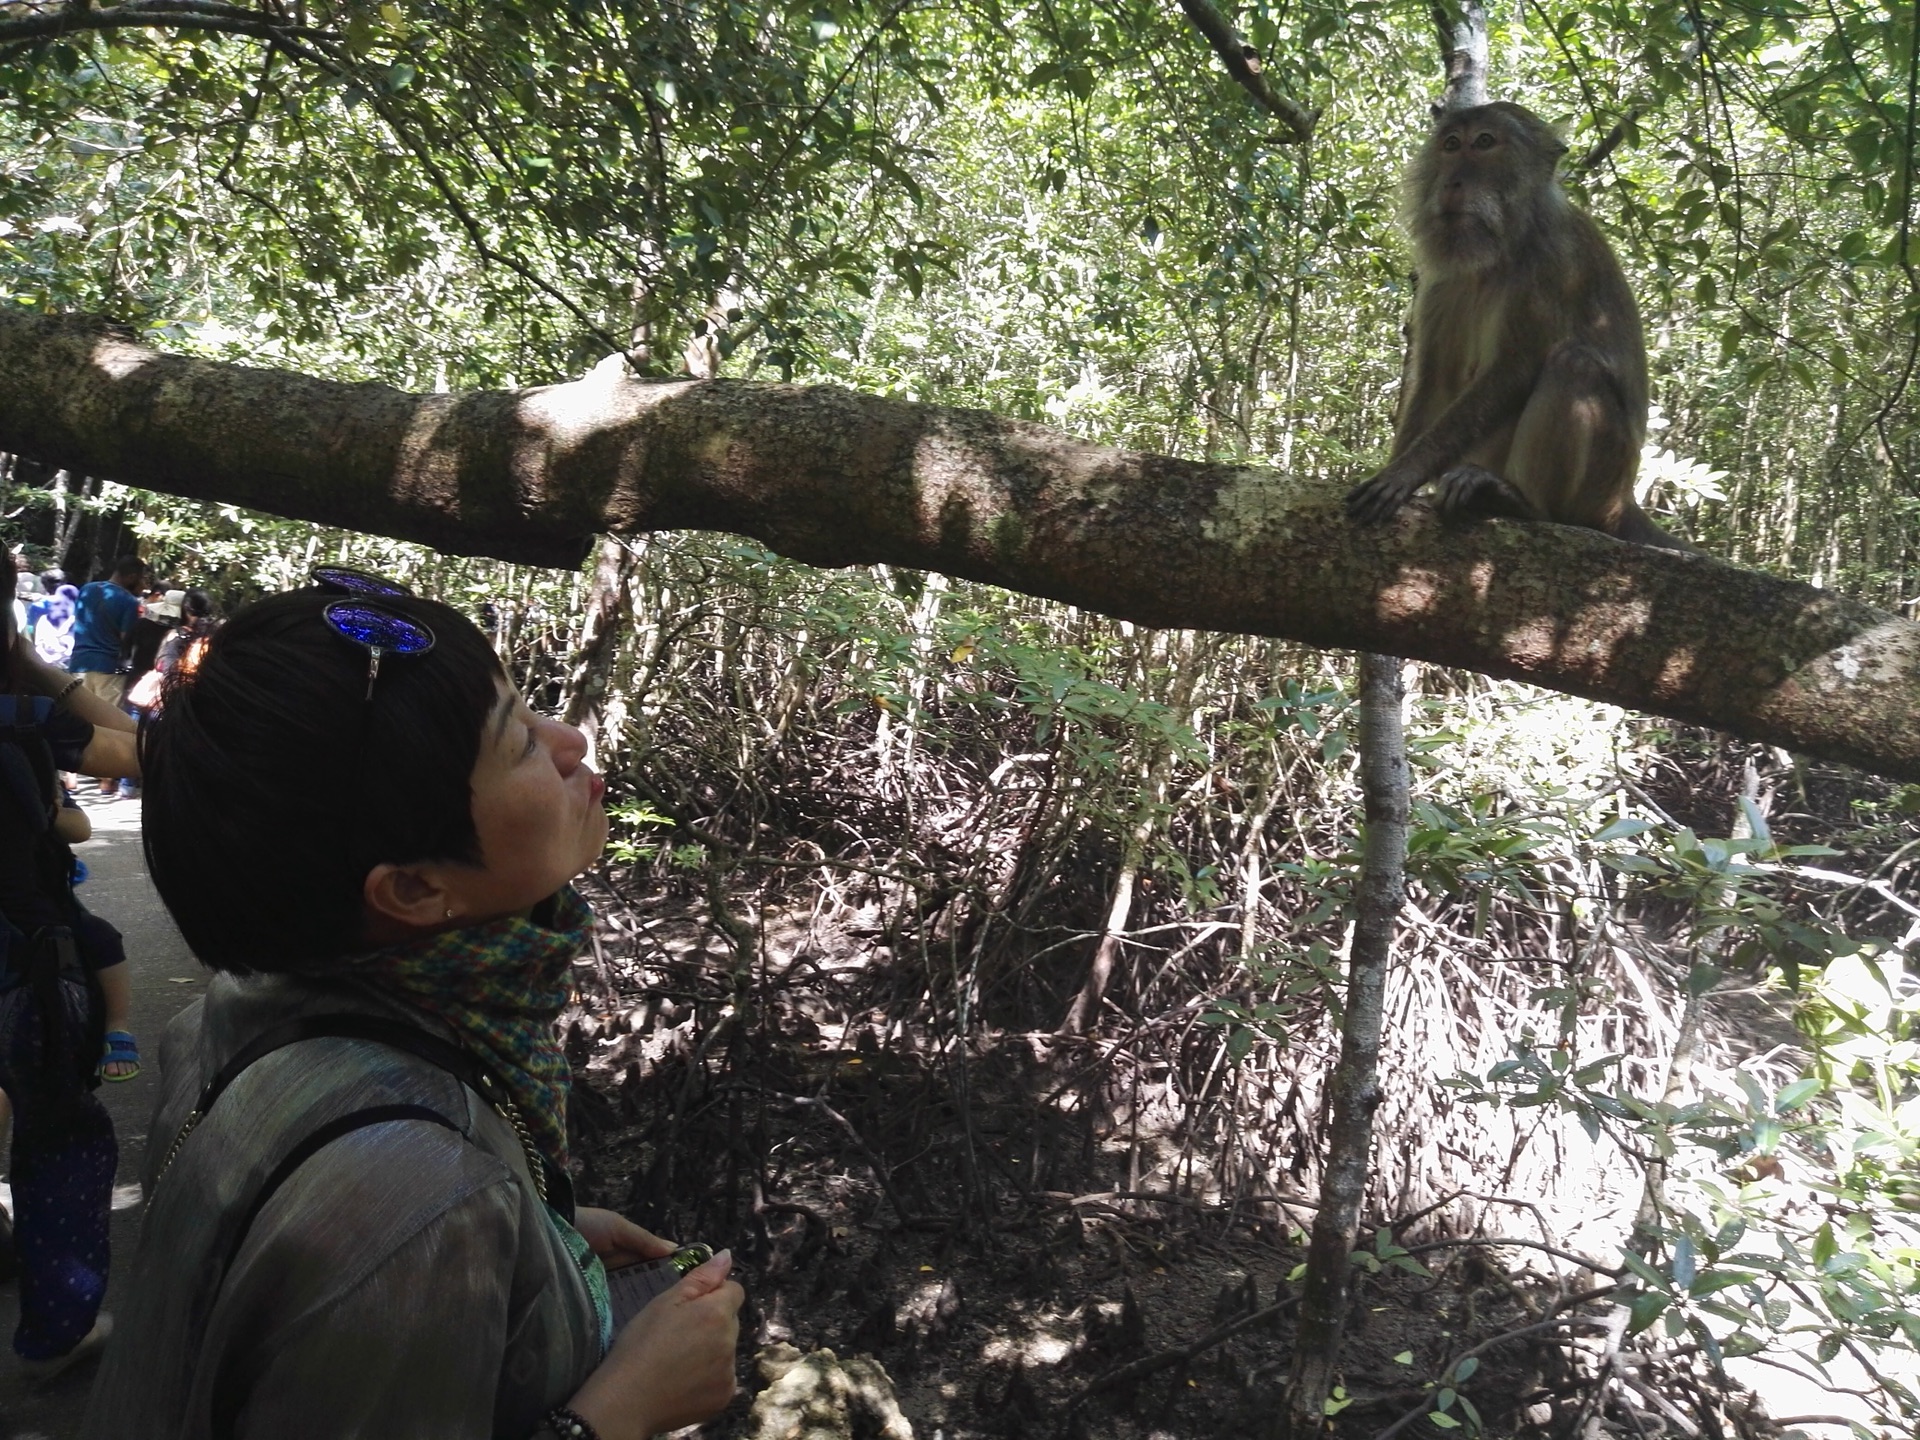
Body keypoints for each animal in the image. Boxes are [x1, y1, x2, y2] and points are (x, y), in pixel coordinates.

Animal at [1344, 100, 1689, 552]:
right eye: (1451, 144)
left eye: (1484, 141)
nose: (1452, 182)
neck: (1498, 250)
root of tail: (1624, 501)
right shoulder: (1441, 284)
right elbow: (1436, 381)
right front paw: (1395, 470)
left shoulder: (1553, 263)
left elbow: (1516, 368)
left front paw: (1404, 472)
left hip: (1601, 487)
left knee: (1575, 364)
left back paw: (1518, 501)